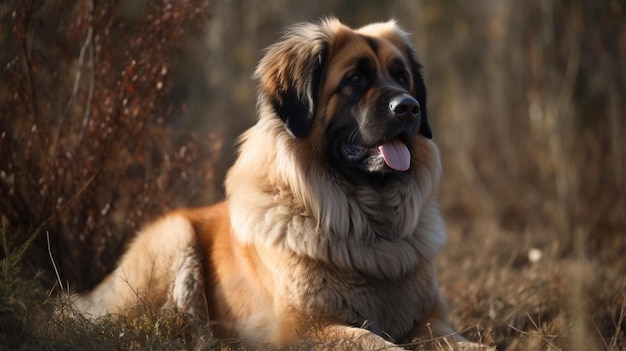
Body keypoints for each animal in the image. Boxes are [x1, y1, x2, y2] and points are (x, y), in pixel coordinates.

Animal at [74, 17, 488, 350]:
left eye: (402, 78)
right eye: (355, 79)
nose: (409, 108)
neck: (370, 226)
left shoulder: (432, 322)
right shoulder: (306, 328)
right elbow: (376, 342)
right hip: (173, 238)